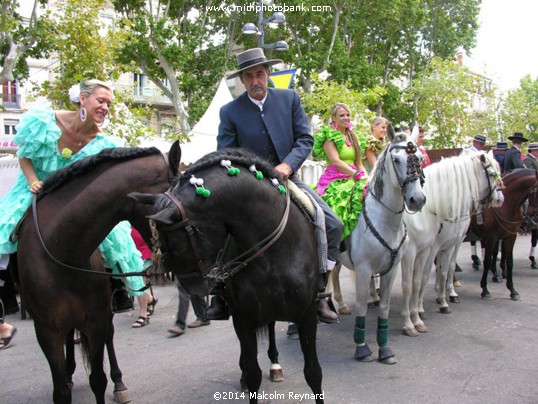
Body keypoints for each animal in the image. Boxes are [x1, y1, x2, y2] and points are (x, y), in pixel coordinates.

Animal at [336, 125, 428, 362]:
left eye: (419, 158)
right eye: (395, 159)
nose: (417, 199)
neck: (384, 220)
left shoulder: (391, 270)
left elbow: (384, 307)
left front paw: (384, 349)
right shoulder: (363, 270)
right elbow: (361, 308)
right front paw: (361, 348)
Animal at [402, 153, 502, 336]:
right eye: (492, 174)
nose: (500, 199)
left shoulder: (451, 244)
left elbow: (445, 270)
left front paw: (444, 301)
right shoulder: (430, 248)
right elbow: (424, 276)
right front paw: (419, 310)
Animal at [468, 168, 536, 300]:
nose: (531, 215)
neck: (507, 203)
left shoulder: (510, 236)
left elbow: (509, 261)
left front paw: (512, 290)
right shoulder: (491, 236)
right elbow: (488, 260)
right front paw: (484, 289)